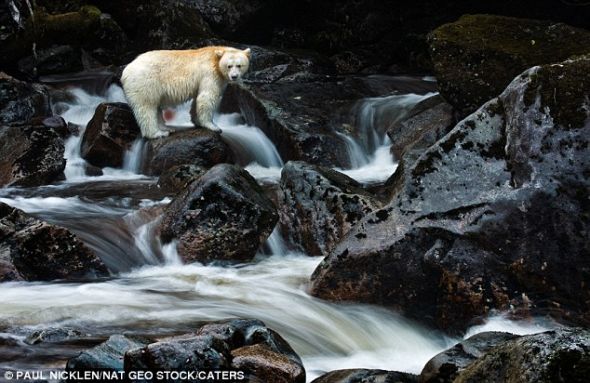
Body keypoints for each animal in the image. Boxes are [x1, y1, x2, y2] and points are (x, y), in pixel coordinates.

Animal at [121, 46, 251, 140]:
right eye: (229, 66)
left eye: (239, 65)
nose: (234, 76)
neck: (215, 58)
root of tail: (126, 71)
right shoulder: (210, 74)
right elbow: (207, 97)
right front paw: (213, 127)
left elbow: (198, 98)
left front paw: (197, 121)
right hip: (145, 81)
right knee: (146, 107)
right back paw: (158, 133)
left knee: (155, 106)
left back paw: (167, 128)